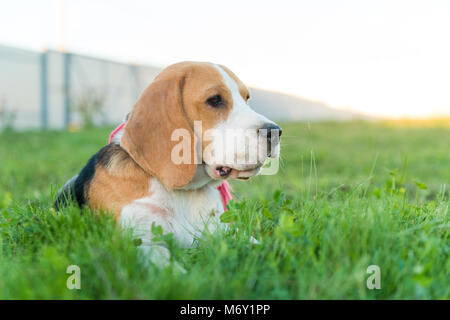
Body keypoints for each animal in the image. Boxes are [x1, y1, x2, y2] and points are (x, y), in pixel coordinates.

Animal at [56, 62, 282, 268]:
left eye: (247, 98)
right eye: (215, 100)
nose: (275, 131)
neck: (185, 193)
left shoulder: (223, 230)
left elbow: (256, 242)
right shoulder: (138, 241)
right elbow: (165, 261)